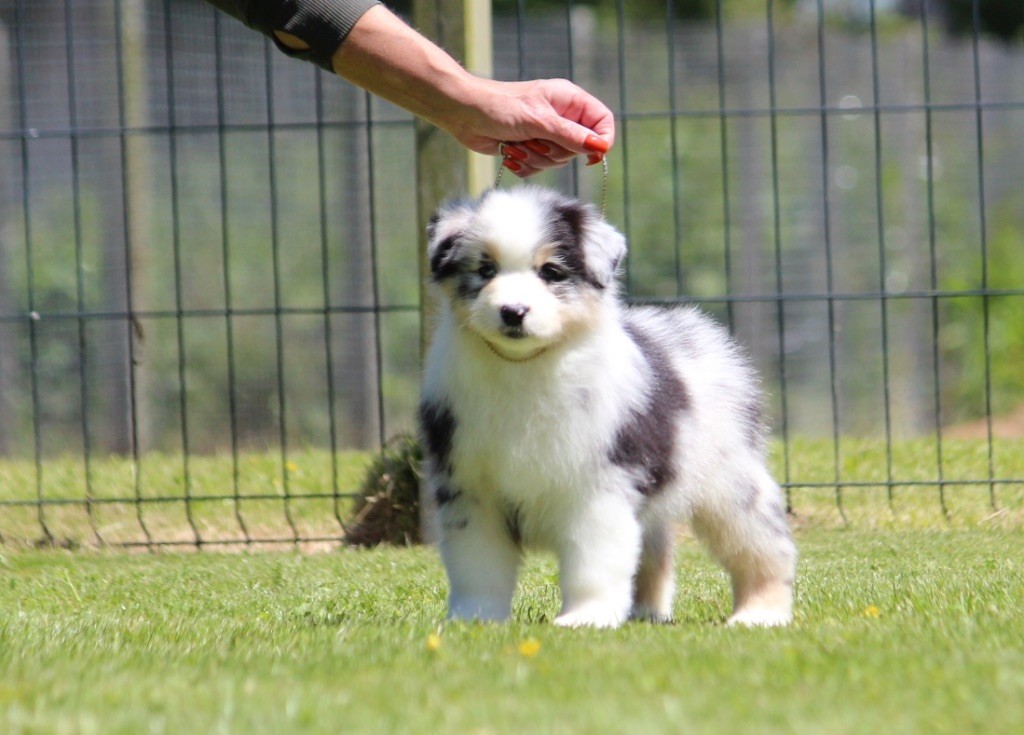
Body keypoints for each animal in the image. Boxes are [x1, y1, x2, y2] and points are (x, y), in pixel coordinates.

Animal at [419, 186, 796, 628]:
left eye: (551, 272)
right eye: (485, 269)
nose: (513, 312)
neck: (525, 368)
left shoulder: (598, 486)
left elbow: (593, 563)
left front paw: (586, 618)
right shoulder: (470, 488)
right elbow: (477, 567)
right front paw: (473, 620)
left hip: (731, 482)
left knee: (764, 548)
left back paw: (760, 614)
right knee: (655, 552)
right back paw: (647, 614)